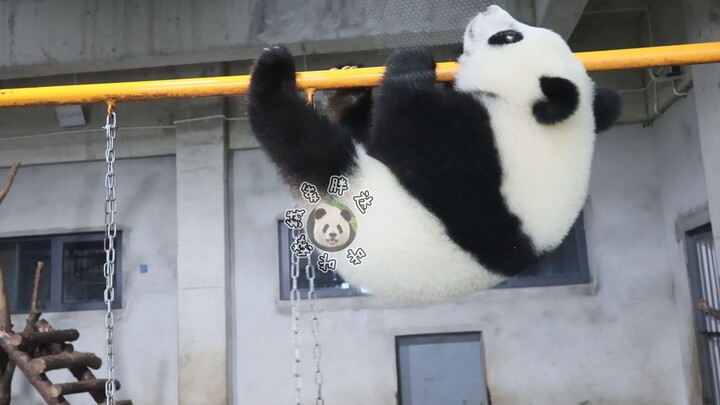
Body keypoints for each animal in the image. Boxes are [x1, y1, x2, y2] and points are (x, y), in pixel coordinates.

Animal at [247, 5, 621, 302]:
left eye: (508, 37)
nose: (488, 7)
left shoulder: (480, 154)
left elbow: (401, 130)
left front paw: (411, 61)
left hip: (344, 184)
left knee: (302, 140)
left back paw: (272, 72)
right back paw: (347, 94)